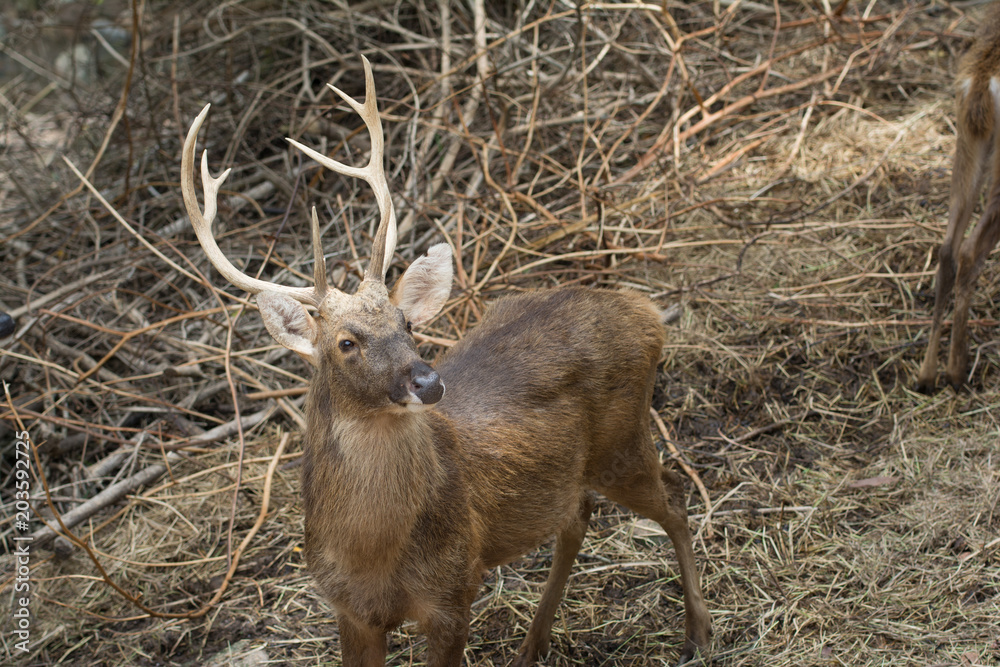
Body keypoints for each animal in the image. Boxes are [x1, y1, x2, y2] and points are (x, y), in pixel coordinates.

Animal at [180, 56, 711, 666]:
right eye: (346, 342)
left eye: (407, 324)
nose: (428, 381)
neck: (372, 556)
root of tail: (645, 311)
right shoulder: (348, 609)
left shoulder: (454, 590)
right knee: (577, 518)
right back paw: (532, 646)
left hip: (623, 439)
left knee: (674, 499)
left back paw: (698, 632)